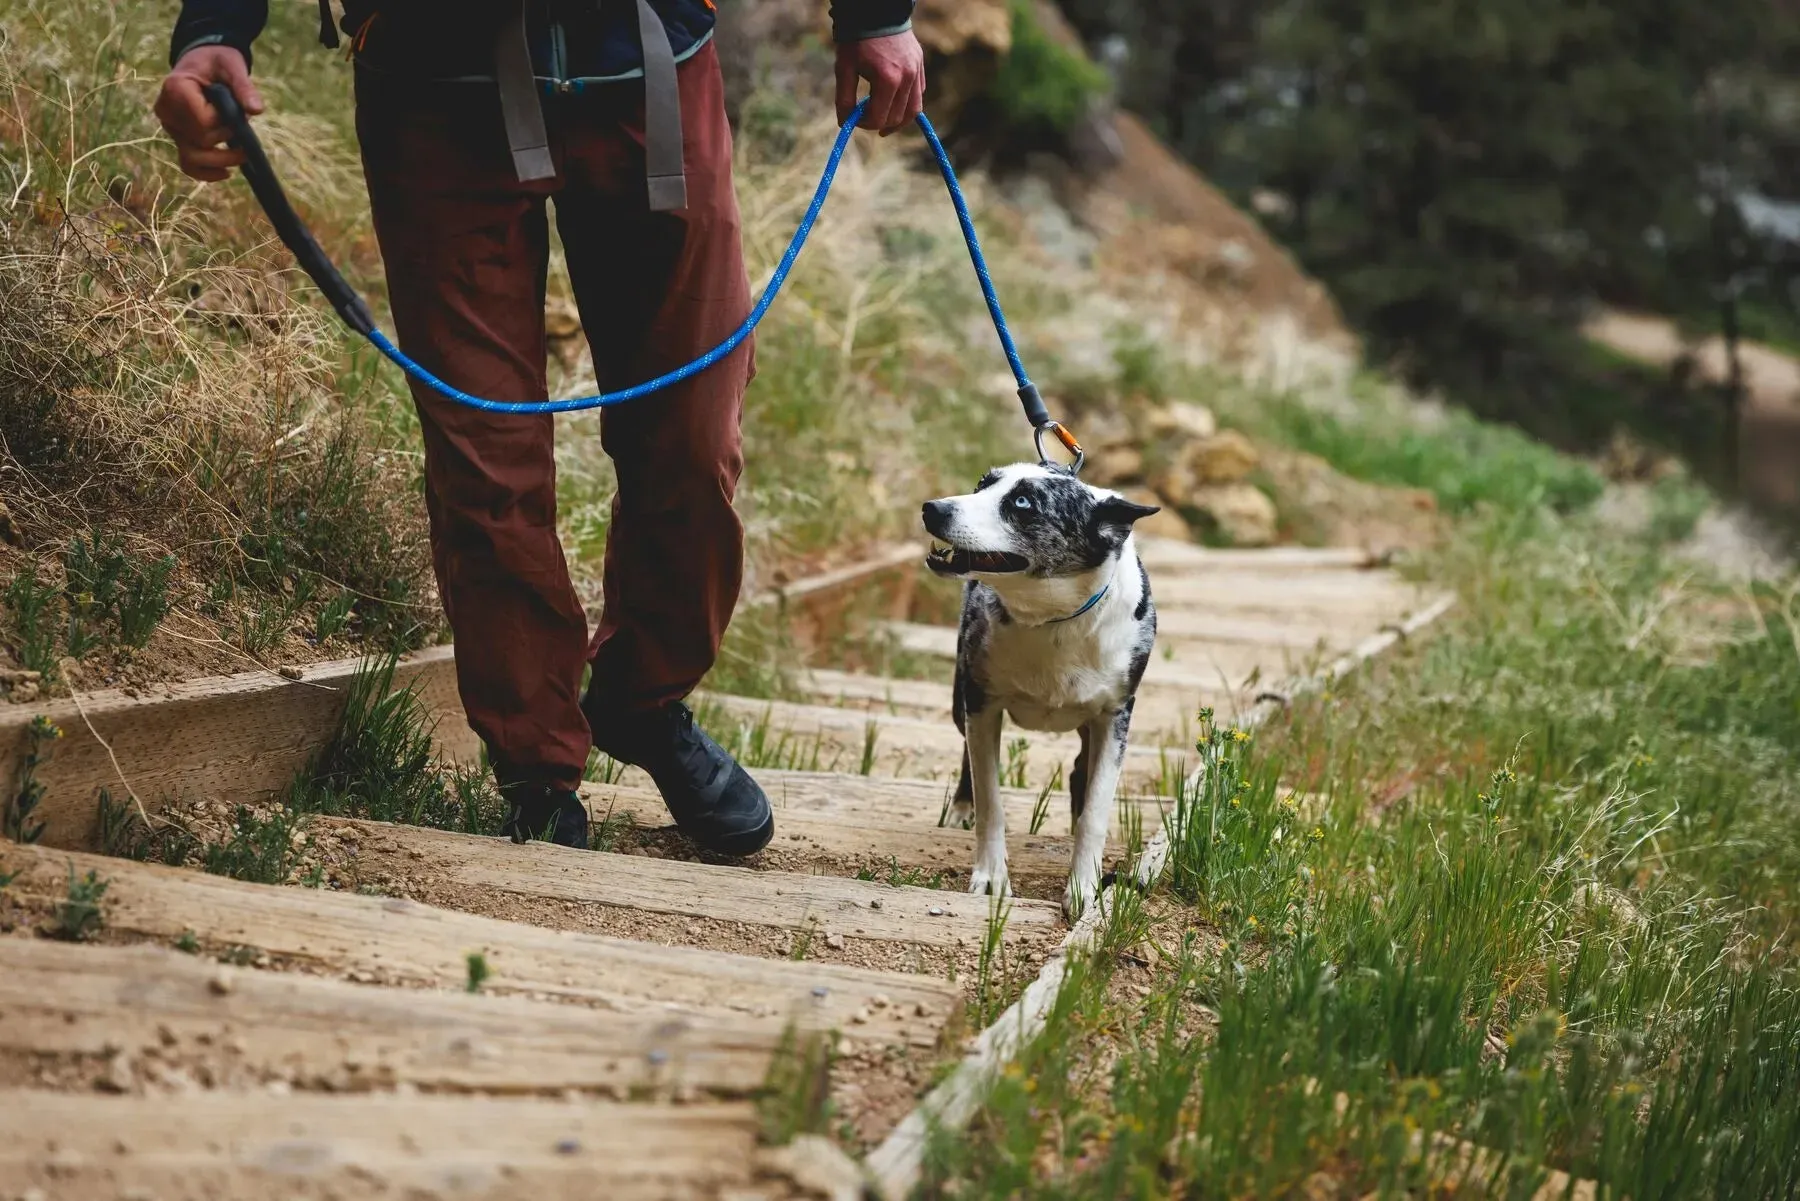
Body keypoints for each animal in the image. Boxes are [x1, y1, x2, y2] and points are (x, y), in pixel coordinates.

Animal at [921, 464, 1159, 914]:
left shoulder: (1116, 716)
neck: (1053, 620)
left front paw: (1084, 887)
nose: (932, 508)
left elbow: (1096, 812)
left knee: (1081, 769)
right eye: (982, 485)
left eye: (1023, 503)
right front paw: (991, 877)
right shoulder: (981, 702)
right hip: (961, 698)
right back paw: (961, 807)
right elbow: (990, 799)